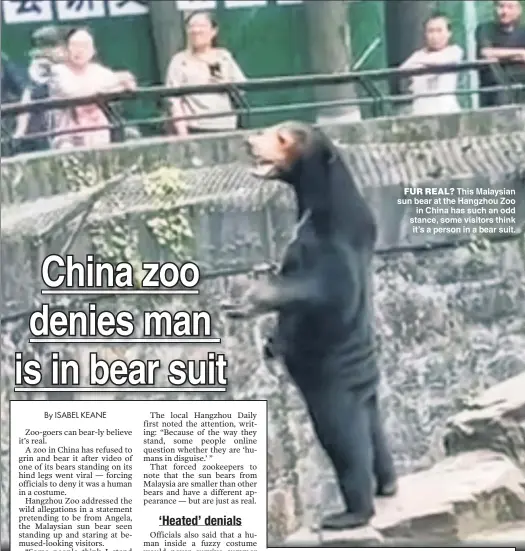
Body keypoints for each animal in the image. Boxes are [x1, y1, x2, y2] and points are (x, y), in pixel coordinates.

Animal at [227, 122, 396, 532]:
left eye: (282, 138)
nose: (248, 140)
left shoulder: (330, 244)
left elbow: (323, 291)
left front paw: (248, 300)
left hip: (333, 392)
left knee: (345, 444)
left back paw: (348, 514)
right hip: (366, 398)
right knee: (376, 432)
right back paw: (388, 484)